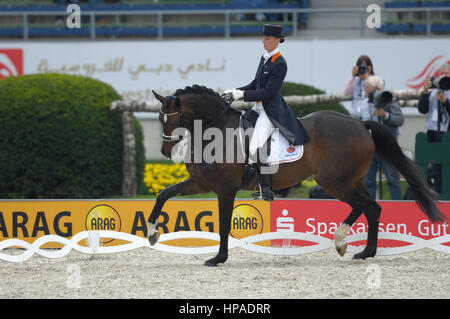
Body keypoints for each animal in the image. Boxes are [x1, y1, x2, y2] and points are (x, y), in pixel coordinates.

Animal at [148, 85, 446, 268]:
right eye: (160, 119)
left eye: (172, 119)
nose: (164, 151)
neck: (216, 130)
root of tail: (360, 123)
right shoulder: (200, 183)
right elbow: (164, 194)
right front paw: (151, 233)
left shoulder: (225, 189)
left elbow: (222, 225)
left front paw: (218, 258)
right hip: (352, 180)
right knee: (372, 207)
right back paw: (364, 252)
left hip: (334, 182)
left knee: (365, 205)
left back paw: (341, 241)